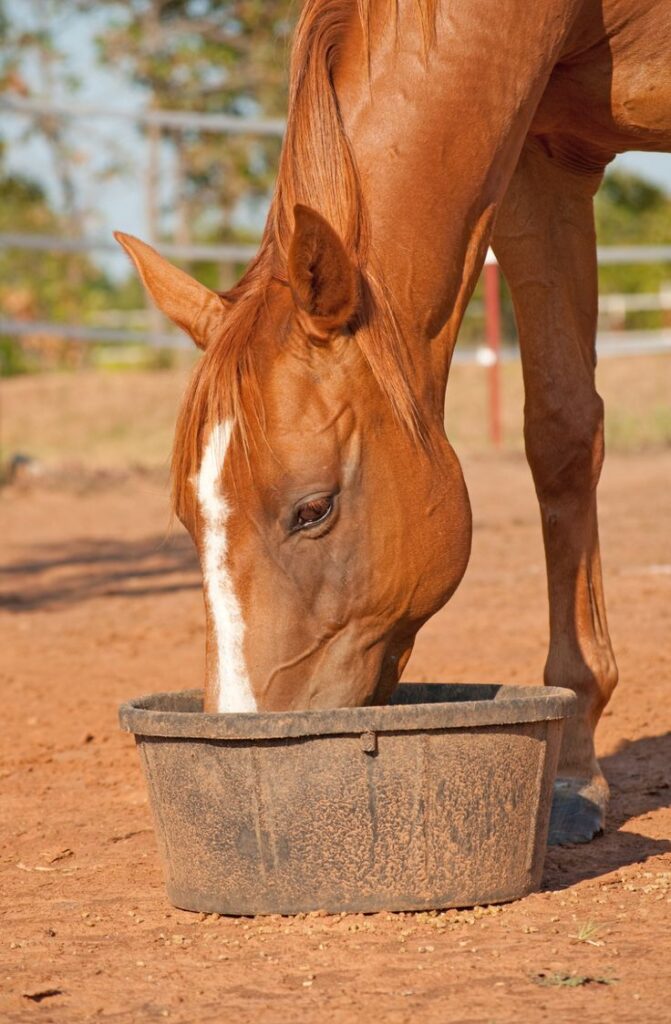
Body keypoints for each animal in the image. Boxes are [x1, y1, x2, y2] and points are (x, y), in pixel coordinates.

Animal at [115, 0, 671, 847]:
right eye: (185, 517)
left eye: (313, 510)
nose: (248, 729)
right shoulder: (540, 162)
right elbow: (561, 430)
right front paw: (576, 773)